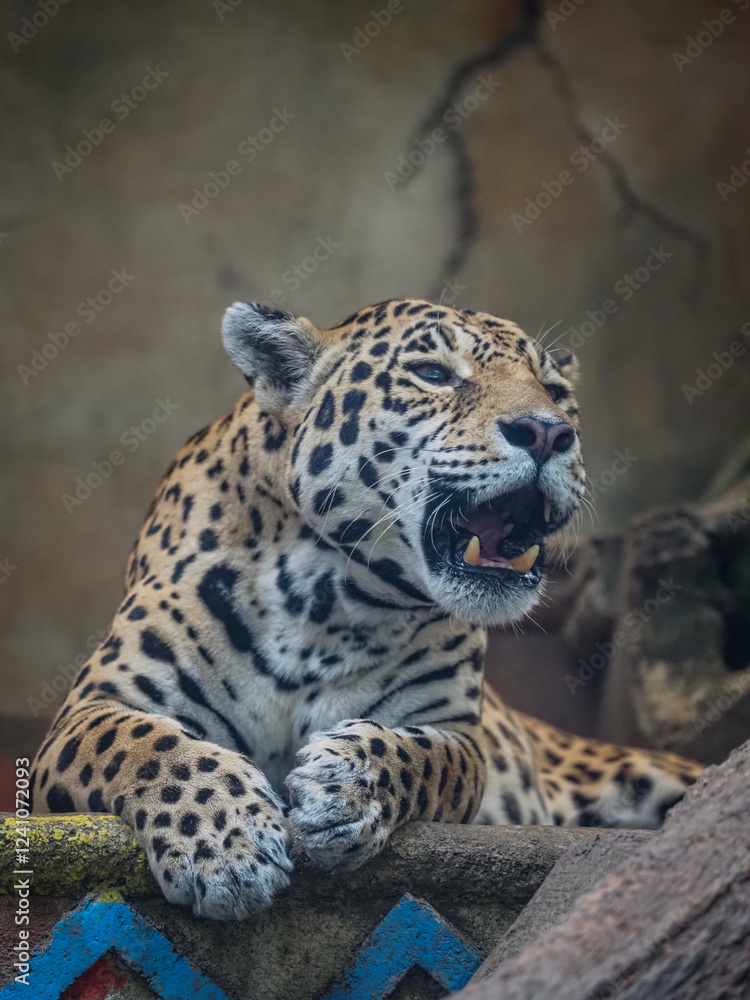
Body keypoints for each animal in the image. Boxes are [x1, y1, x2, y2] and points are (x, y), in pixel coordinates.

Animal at [30, 297, 703, 920]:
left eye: (558, 393)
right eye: (433, 373)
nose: (547, 432)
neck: (325, 605)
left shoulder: (460, 735)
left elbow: (424, 758)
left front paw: (346, 787)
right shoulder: (91, 708)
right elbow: (145, 746)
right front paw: (225, 844)